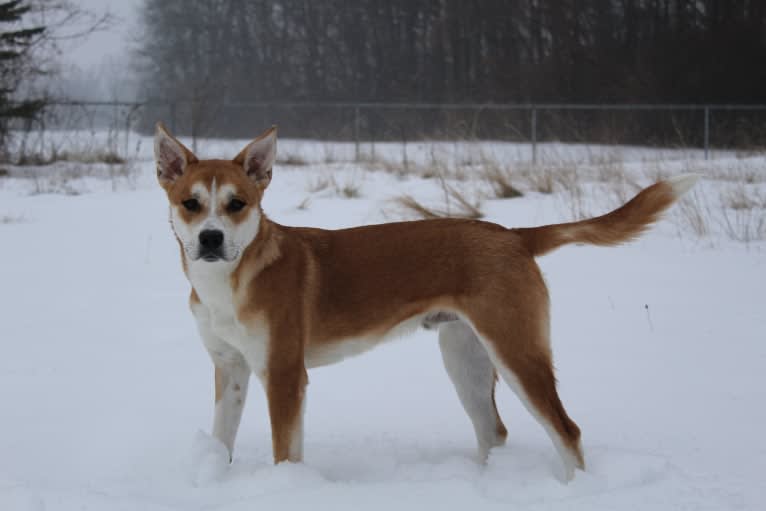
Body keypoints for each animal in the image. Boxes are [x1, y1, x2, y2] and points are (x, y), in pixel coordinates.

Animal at [156, 123, 704, 480]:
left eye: (237, 204)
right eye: (191, 204)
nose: (209, 239)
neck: (230, 278)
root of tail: (513, 235)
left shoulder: (285, 375)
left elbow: (284, 453)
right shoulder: (230, 369)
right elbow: (221, 439)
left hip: (517, 352)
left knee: (566, 431)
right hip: (465, 357)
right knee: (493, 431)